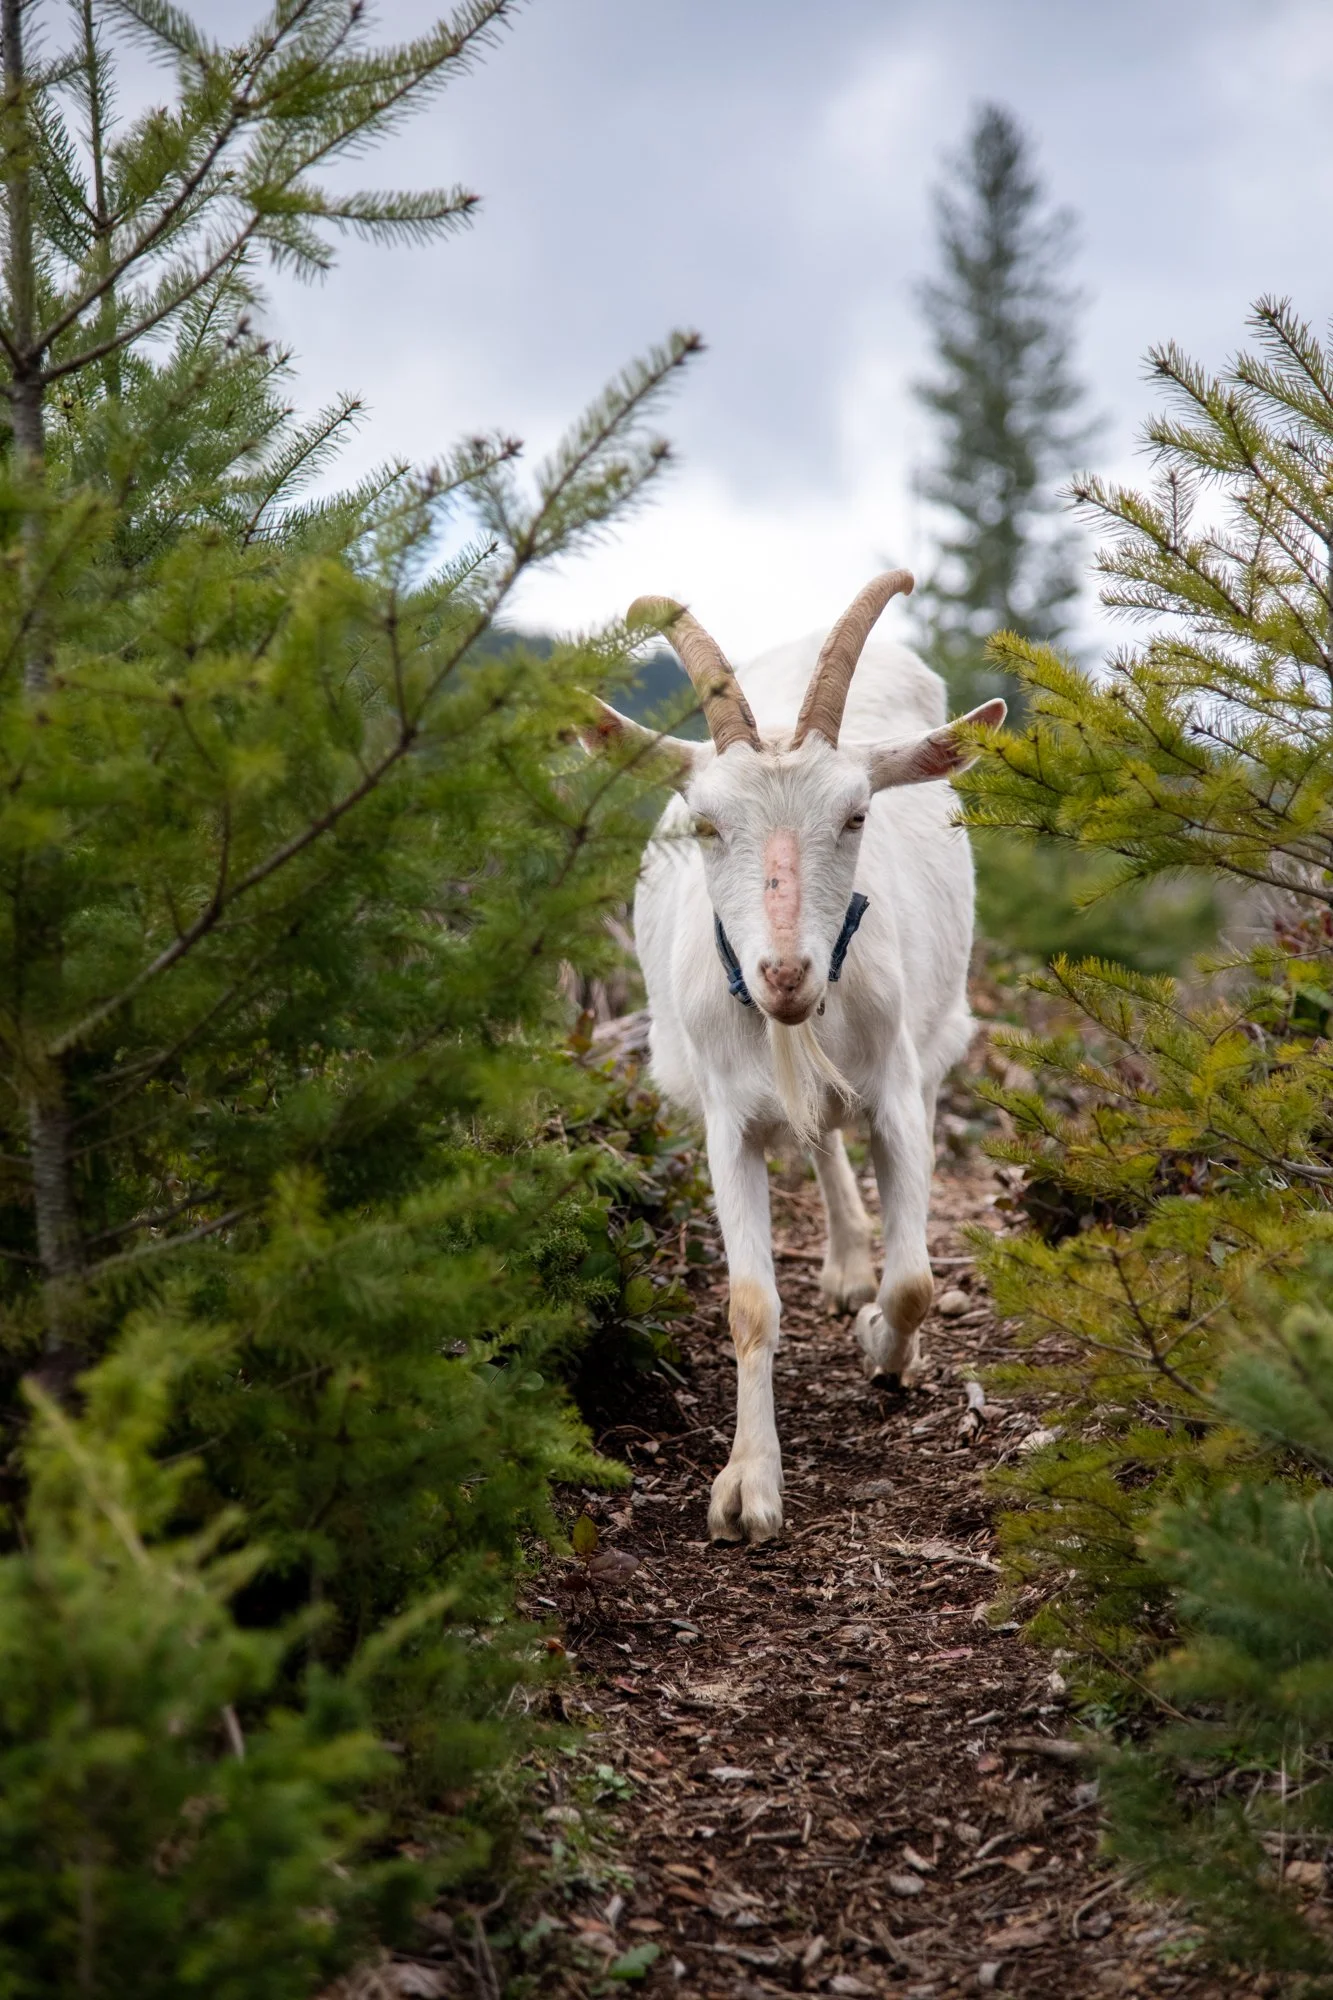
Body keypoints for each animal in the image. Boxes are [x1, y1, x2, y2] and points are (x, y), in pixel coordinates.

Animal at [585, 571, 1003, 1543]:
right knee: (818, 1136)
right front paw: (747, 1487)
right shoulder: (724, 1121)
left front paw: (885, 1347)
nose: (783, 973)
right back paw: (845, 1261)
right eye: (704, 825)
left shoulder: (894, 1093)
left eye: (855, 815)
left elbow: (915, 1281)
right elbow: (748, 1305)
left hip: (935, 1034)